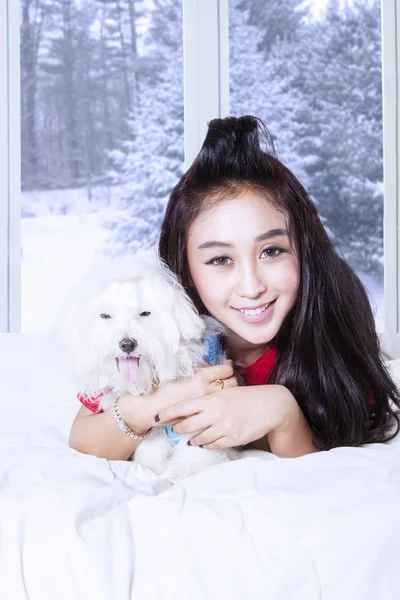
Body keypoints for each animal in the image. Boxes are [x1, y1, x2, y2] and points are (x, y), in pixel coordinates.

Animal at [57, 250, 239, 482]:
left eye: (144, 313)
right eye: (105, 316)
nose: (127, 344)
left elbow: (195, 452)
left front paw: (181, 473)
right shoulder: (152, 426)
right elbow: (152, 450)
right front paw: (155, 471)